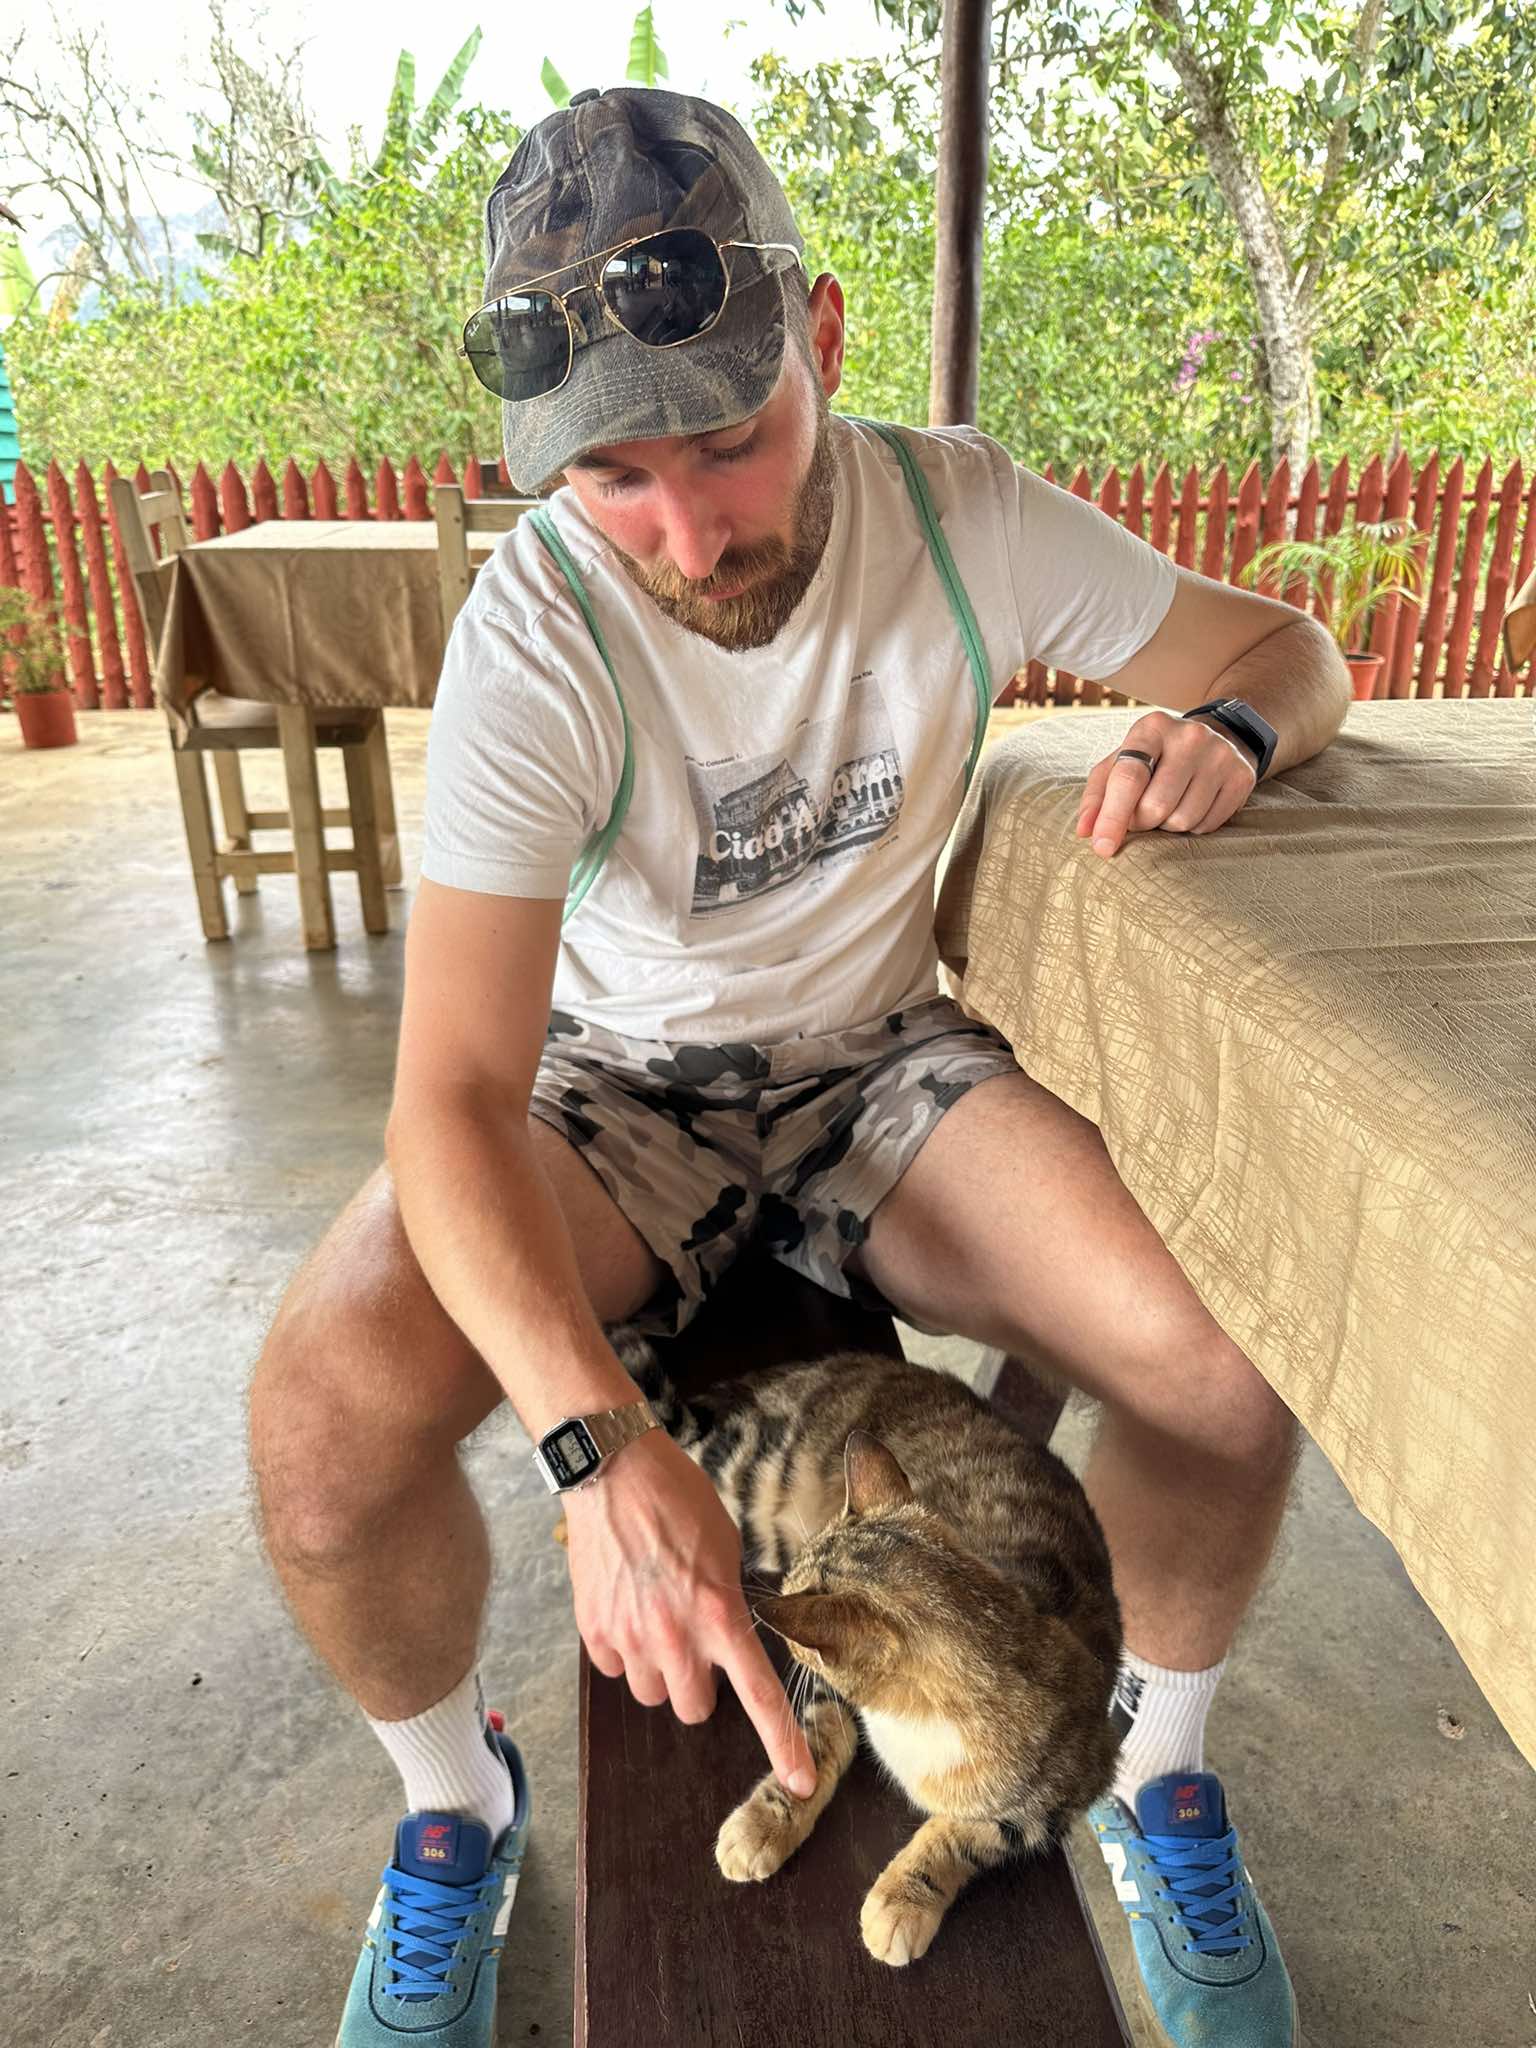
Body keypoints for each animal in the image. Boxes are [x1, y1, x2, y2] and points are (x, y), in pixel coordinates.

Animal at [570, 1332, 1123, 1968]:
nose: (785, 1645)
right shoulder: (833, 1691)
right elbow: (816, 1736)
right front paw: (766, 1821)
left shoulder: (1058, 1794)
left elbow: (964, 1835)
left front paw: (903, 1900)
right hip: (746, 1477)